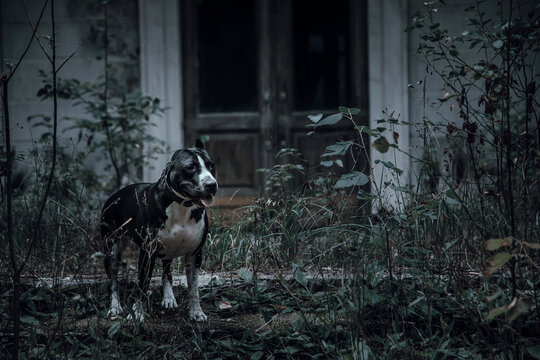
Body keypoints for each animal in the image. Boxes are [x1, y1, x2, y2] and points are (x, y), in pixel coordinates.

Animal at [101, 139, 217, 322]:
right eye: (190, 167)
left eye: (211, 166)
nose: (211, 185)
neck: (182, 206)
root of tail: (113, 197)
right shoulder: (147, 253)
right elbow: (142, 284)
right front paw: (137, 314)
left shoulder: (195, 253)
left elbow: (194, 288)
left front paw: (196, 312)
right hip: (111, 250)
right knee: (112, 280)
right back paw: (115, 307)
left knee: (166, 271)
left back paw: (168, 297)